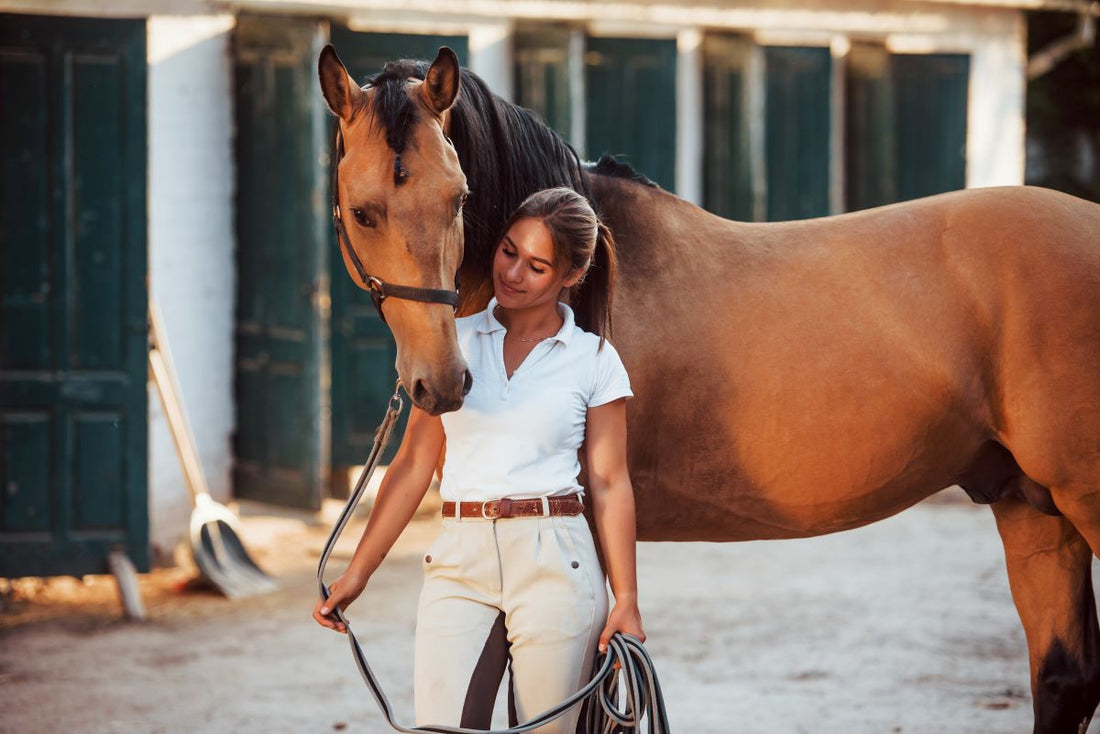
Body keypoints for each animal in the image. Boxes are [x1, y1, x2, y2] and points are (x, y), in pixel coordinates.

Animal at [317, 45, 1100, 733]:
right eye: (363, 210)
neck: (583, 283)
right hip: (1028, 505)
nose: (443, 382)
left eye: (459, 199)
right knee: (1064, 679)